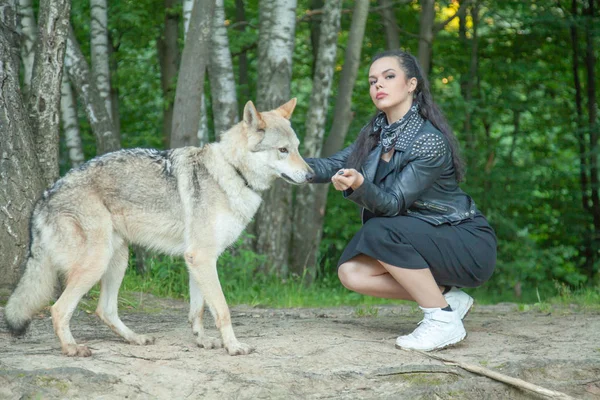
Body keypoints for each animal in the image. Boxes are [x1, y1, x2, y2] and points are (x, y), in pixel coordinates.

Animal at [3, 98, 314, 358]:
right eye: (283, 150)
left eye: (297, 148)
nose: (311, 175)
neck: (232, 171)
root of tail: (43, 199)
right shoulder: (202, 257)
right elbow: (223, 309)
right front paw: (234, 346)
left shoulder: (196, 260)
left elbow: (198, 310)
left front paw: (203, 341)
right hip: (96, 262)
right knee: (58, 309)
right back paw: (72, 349)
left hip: (118, 259)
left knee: (104, 310)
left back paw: (135, 339)